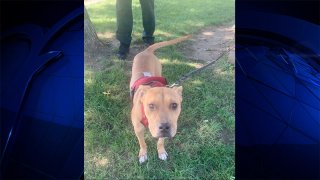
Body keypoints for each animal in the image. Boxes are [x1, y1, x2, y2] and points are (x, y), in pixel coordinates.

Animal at [129, 34, 191, 163]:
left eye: (174, 105)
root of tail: (146, 51)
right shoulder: (138, 129)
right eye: (151, 106)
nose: (164, 127)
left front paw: (161, 151)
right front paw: (143, 154)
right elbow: (142, 143)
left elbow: (160, 142)